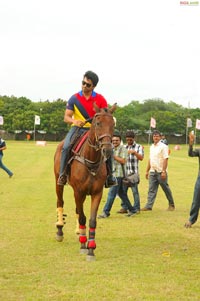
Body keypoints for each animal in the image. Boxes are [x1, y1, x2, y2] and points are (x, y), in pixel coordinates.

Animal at [53, 103, 115, 260]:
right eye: (98, 123)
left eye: (113, 125)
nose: (107, 150)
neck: (91, 159)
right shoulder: (79, 192)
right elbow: (82, 218)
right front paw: (83, 246)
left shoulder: (96, 193)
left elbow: (91, 220)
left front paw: (91, 248)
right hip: (58, 182)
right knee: (60, 202)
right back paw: (60, 230)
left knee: (77, 210)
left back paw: (78, 233)